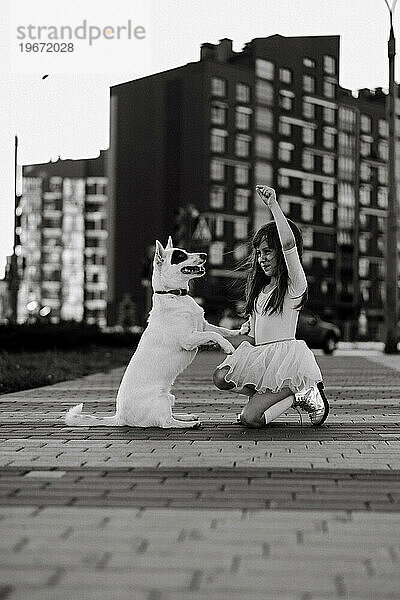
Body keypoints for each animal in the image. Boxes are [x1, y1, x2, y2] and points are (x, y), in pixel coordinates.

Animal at [65, 237, 244, 428]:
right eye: (180, 256)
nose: (204, 254)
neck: (174, 295)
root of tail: (120, 417)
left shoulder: (203, 326)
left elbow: (222, 330)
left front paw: (240, 330)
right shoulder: (189, 339)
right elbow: (215, 335)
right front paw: (227, 347)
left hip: (169, 397)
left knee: (170, 417)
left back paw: (186, 417)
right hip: (161, 400)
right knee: (166, 422)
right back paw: (188, 424)